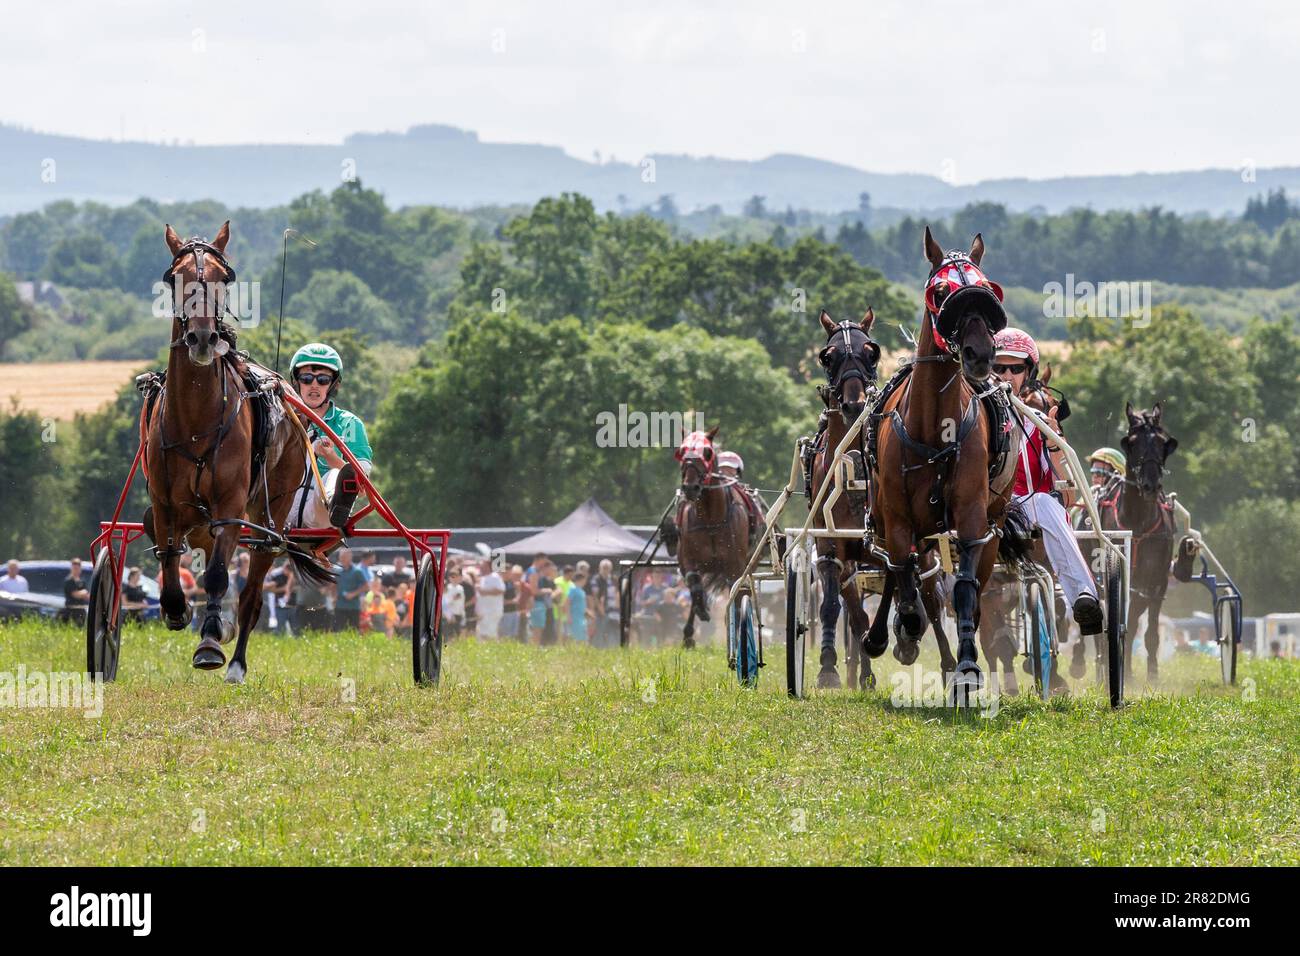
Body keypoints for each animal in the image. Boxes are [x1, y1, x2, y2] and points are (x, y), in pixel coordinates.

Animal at [143, 221, 335, 686]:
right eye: (173, 278)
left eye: (224, 278)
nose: (202, 338)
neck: (196, 421)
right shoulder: (164, 501)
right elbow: (168, 558)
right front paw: (177, 609)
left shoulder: (230, 506)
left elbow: (216, 575)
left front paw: (212, 641)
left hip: (272, 510)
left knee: (251, 590)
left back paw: (235, 659)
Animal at [665, 429, 764, 647]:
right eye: (681, 452)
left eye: (707, 453)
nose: (690, 487)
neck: (711, 518)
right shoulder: (687, 559)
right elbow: (694, 587)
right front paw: (695, 621)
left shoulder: (735, 565)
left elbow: (737, 592)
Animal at [868, 231, 1019, 697]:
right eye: (940, 292)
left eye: (986, 288)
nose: (979, 354)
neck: (936, 431)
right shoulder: (898, 519)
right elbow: (904, 578)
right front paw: (904, 630)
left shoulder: (971, 519)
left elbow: (965, 590)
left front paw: (967, 668)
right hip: (888, 517)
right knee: (900, 573)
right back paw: (887, 635)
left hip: (988, 524)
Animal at [1097, 400, 1180, 686]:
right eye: (1131, 442)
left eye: (1164, 442)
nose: (1150, 485)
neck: (1139, 522)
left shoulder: (1156, 581)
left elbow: (1150, 631)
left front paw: (1152, 675)